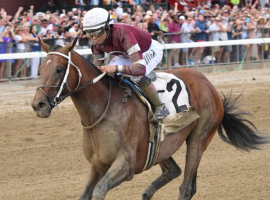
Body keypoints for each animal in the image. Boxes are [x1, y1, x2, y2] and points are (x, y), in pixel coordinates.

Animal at [31, 38, 268, 200]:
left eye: (59, 69)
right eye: (41, 68)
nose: (38, 104)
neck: (102, 110)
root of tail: (208, 83)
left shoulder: (125, 165)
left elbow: (99, 191)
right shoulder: (97, 165)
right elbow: (85, 194)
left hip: (199, 138)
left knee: (187, 186)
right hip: (160, 145)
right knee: (174, 170)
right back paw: (147, 192)